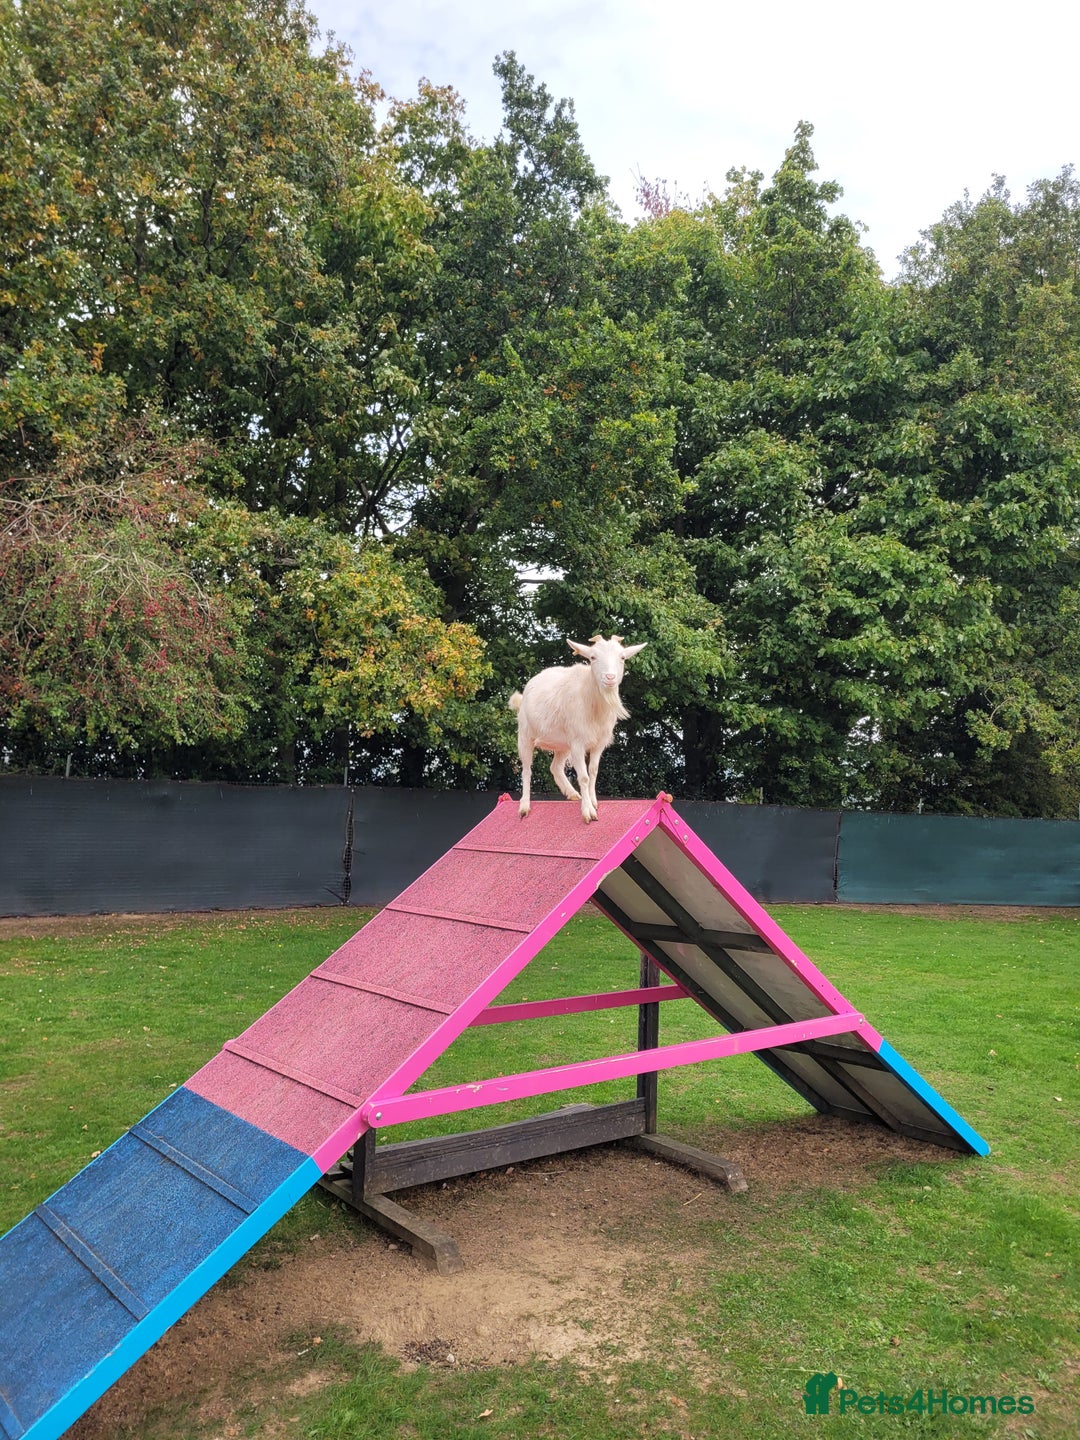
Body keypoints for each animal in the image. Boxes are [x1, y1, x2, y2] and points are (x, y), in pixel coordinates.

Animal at [509, 634, 647, 823]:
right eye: (593, 657)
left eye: (623, 657)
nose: (610, 677)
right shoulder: (578, 743)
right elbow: (584, 777)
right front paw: (588, 812)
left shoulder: (598, 744)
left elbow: (593, 772)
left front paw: (593, 801)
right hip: (525, 735)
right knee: (526, 770)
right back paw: (524, 806)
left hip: (563, 744)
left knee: (555, 766)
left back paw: (572, 793)